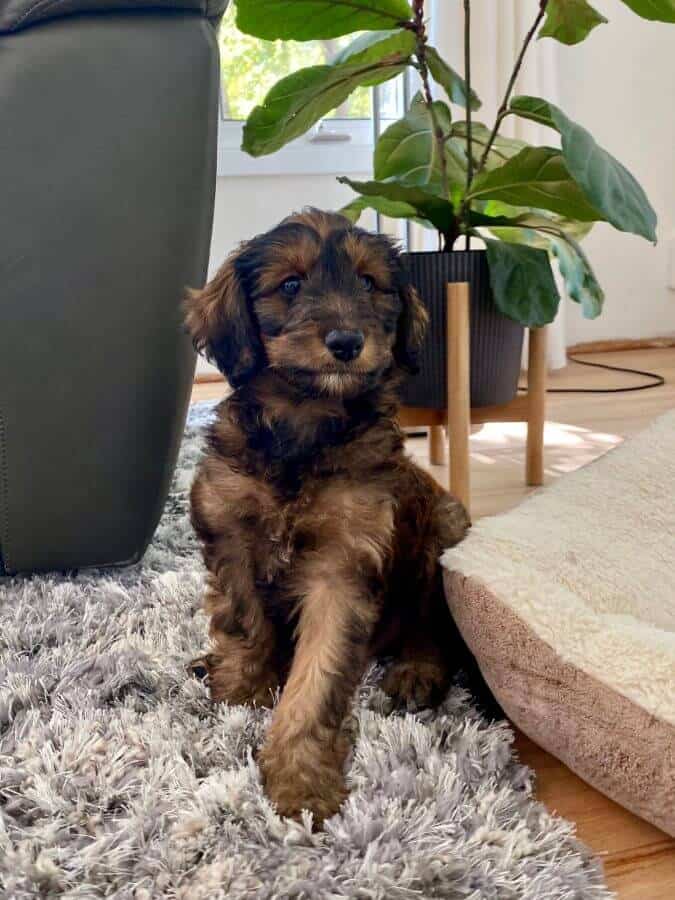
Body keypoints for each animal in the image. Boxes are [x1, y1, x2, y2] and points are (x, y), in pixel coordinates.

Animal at [185, 207, 470, 828]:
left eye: (368, 283)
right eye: (291, 285)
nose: (345, 341)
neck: (304, 426)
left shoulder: (342, 567)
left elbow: (317, 679)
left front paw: (300, 779)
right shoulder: (230, 531)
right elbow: (242, 619)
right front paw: (243, 688)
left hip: (442, 531)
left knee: (431, 625)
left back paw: (416, 671)